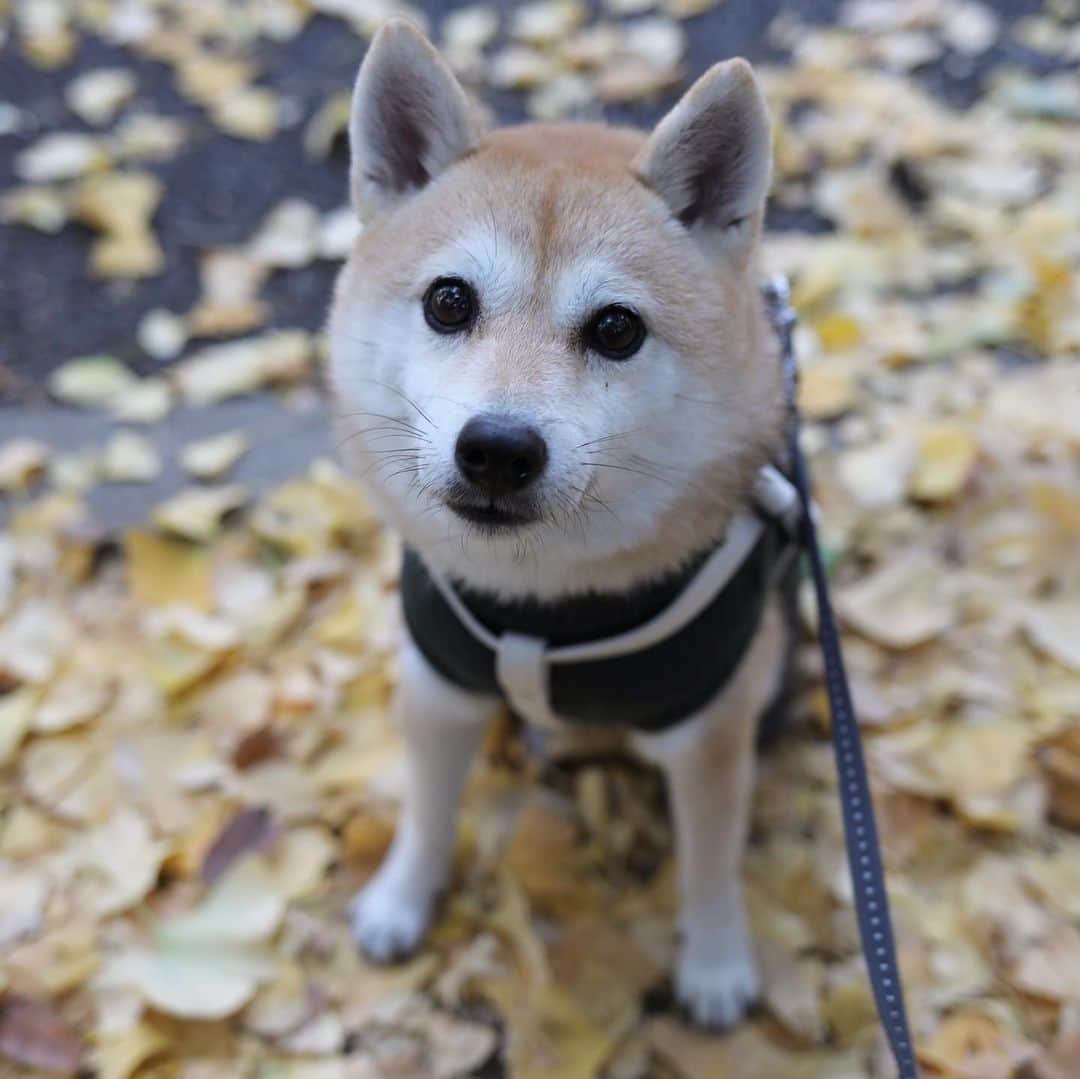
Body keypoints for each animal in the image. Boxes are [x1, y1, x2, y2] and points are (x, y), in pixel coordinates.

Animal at [328, 19, 794, 1028]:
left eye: (616, 328)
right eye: (449, 301)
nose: (498, 450)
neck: (541, 601)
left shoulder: (710, 729)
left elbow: (710, 861)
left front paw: (715, 960)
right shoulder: (437, 684)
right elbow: (428, 811)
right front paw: (402, 898)